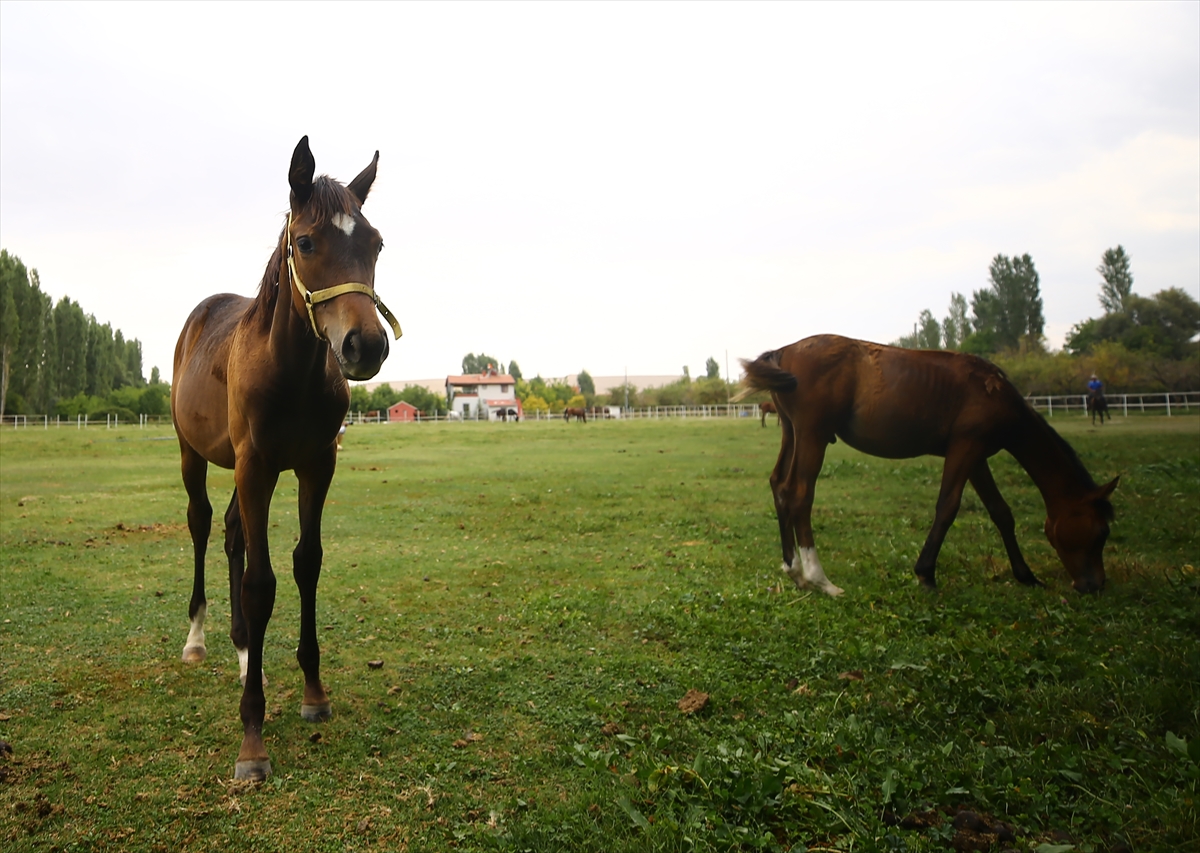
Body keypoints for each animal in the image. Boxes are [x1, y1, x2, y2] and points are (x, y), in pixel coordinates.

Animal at [171, 134, 400, 782]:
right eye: (306, 242)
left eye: (375, 243)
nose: (366, 346)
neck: (292, 371)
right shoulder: (256, 468)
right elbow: (260, 582)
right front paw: (252, 739)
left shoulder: (314, 465)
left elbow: (306, 564)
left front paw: (313, 693)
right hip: (195, 455)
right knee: (203, 526)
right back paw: (198, 640)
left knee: (229, 532)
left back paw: (245, 654)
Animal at [734, 335, 1118, 597]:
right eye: (1101, 532)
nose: (1094, 584)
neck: (994, 391)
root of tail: (785, 351)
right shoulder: (965, 449)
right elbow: (947, 507)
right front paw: (926, 574)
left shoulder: (976, 457)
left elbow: (1001, 512)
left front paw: (1025, 575)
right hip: (812, 436)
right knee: (800, 494)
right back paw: (821, 580)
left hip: (792, 432)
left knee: (780, 487)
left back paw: (795, 571)